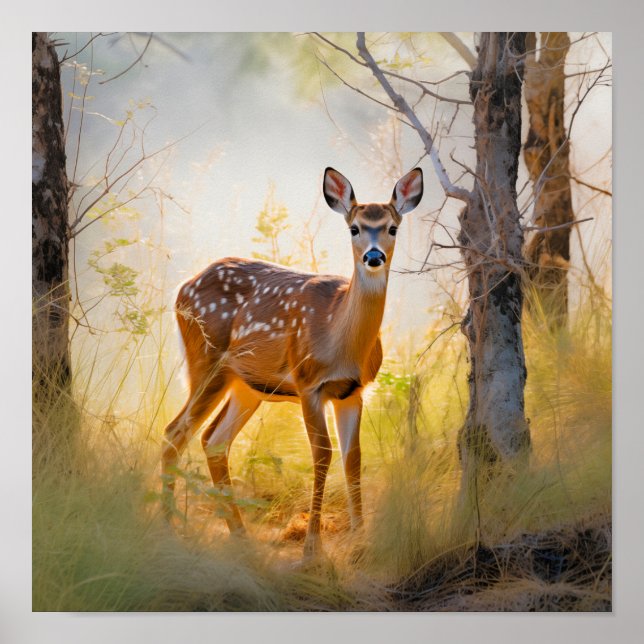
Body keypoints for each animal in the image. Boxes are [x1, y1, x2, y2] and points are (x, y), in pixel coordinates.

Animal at [161, 167, 424, 557]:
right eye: (354, 228)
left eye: (392, 227)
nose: (374, 256)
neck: (339, 338)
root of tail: (182, 289)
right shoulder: (308, 383)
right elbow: (323, 454)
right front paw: (312, 548)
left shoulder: (353, 391)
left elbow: (353, 457)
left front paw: (361, 541)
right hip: (206, 361)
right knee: (174, 433)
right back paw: (167, 527)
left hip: (247, 385)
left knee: (214, 440)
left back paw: (240, 536)